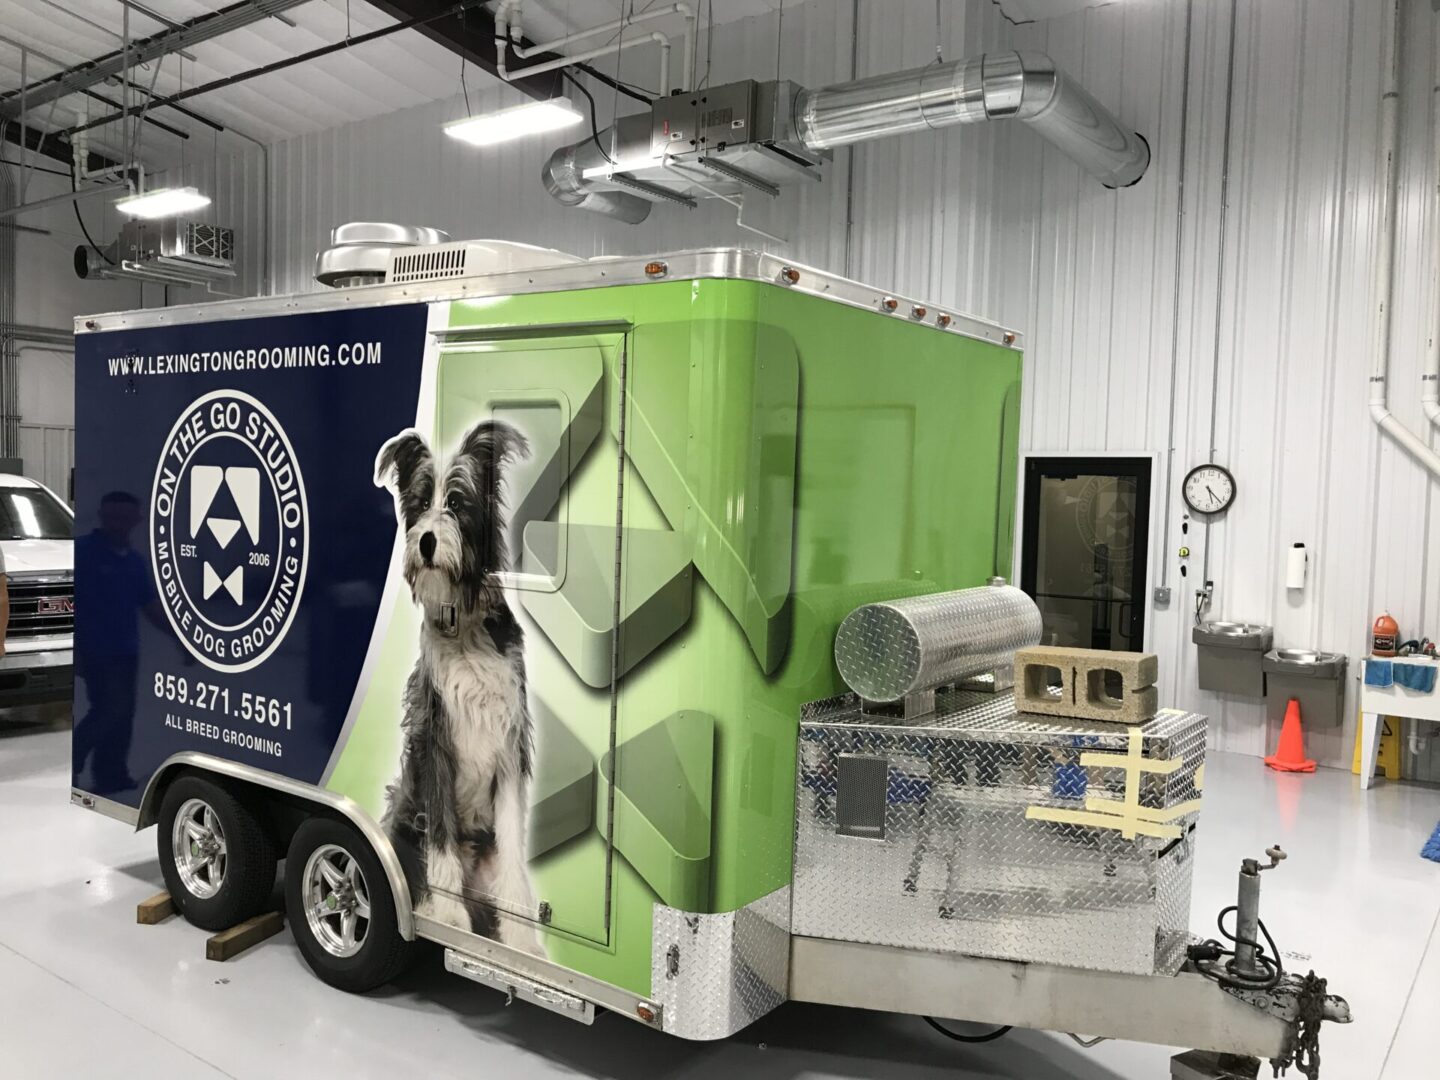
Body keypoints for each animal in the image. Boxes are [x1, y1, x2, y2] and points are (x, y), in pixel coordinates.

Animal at [374, 420, 541, 956]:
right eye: (419, 500)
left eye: (456, 501)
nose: (426, 541)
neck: (464, 628)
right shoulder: (437, 746)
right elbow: (442, 838)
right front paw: (447, 916)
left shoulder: (509, 750)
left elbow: (513, 852)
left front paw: (522, 940)